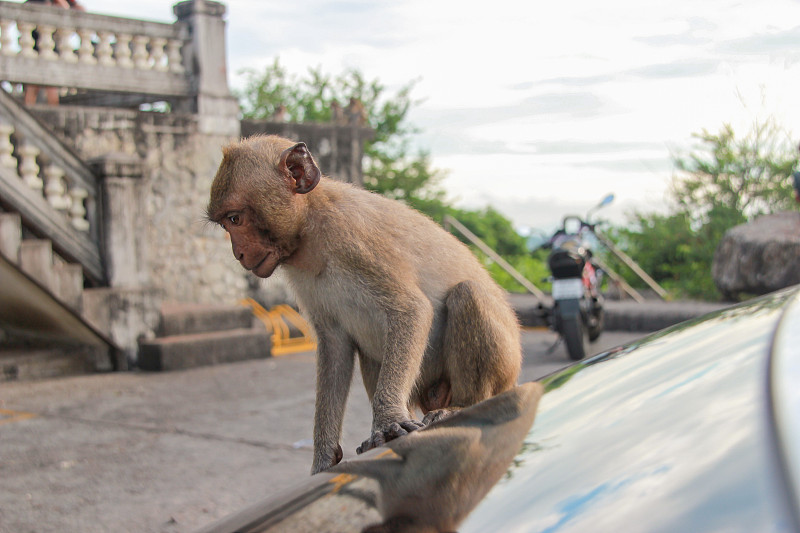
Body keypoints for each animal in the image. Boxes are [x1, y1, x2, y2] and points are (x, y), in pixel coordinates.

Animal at [203, 134, 520, 474]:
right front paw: (324, 458)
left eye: (235, 218)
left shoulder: (355, 240)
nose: (238, 253)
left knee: (467, 294)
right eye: (227, 224)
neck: (311, 230)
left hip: (504, 369)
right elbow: (335, 346)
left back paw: (461, 406)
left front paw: (389, 421)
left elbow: (411, 309)